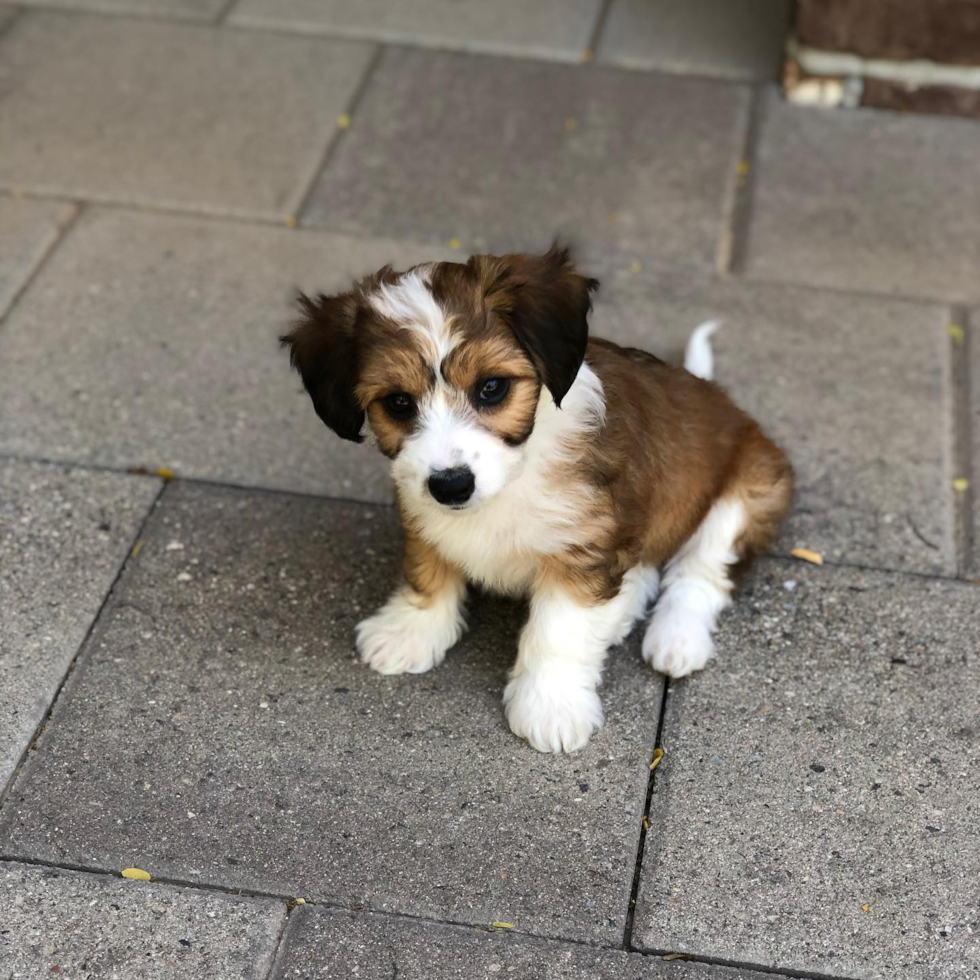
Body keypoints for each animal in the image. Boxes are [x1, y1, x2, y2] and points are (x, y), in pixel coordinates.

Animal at [282, 249, 788, 756]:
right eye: (399, 403)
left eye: (491, 387)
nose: (451, 486)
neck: (515, 474)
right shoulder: (423, 511)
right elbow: (427, 569)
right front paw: (412, 629)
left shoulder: (583, 547)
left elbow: (558, 631)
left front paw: (551, 704)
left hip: (747, 490)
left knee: (700, 572)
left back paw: (677, 637)